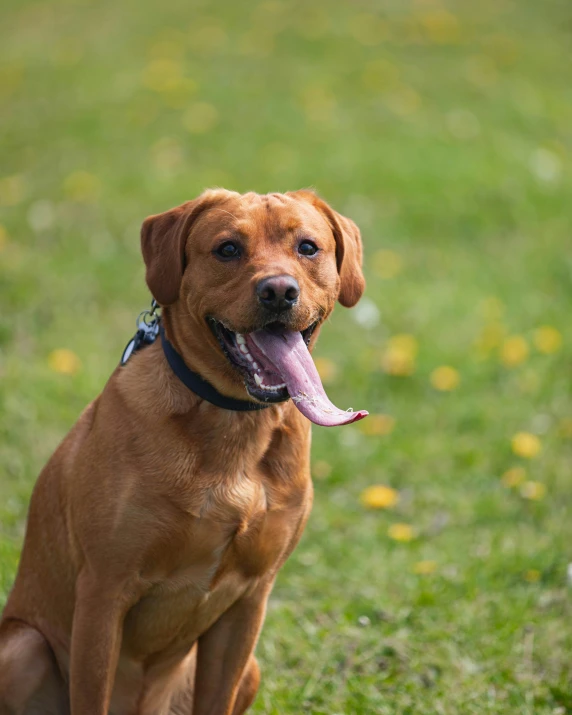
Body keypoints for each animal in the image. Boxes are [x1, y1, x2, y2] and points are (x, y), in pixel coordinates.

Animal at [0, 187, 366, 712]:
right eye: (228, 249)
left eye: (308, 247)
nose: (279, 291)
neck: (235, 422)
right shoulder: (103, 591)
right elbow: (91, 692)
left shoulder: (249, 602)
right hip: (20, 647)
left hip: (250, 670)